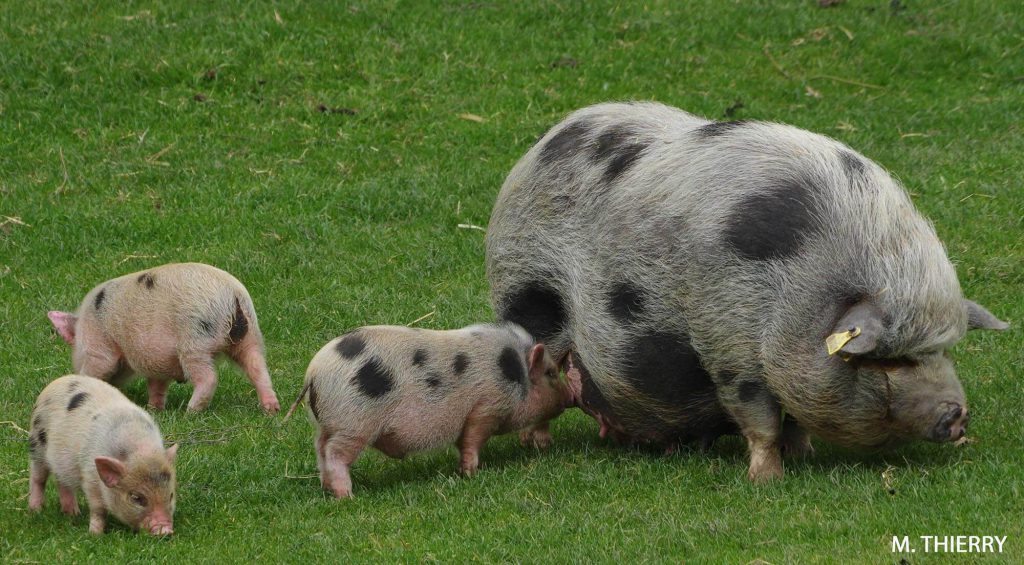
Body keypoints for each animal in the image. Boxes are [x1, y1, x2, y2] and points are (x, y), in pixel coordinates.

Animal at [28, 374, 179, 532]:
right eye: (137, 498)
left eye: (170, 495)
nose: (166, 530)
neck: (137, 450)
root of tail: (59, 380)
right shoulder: (90, 477)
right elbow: (98, 509)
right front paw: (95, 533)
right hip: (36, 443)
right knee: (38, 478)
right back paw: (36, 511)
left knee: (62, 481)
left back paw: (73, 514)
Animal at [48, 262, 280, 413]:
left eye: (76, 350)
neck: (82, 329)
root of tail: (233, 297)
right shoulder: (157, 361)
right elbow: (157, 385)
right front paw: (154, 409)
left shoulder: (99, 345)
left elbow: (101, 366)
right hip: (250, 336)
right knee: (258, 367)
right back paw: (272, 409)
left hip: (195, 341)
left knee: (208, 377)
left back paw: (190, 411)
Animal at [299, 321, 577, 499]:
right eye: (551, 373)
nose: (571, 397)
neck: (513, 374)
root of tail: (312, 376)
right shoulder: (486, 407)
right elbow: (472, 440)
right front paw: (470, 473)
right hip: (353, 424)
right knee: (335, 453)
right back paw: (347, 496)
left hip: (326, 426)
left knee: (320, 449)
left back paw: (327, 489)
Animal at [481, 100, 1007, 481]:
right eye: (890, 361)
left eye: (942, 352)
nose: (957, 416)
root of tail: (543, 144)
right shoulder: (729, 342)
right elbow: (759, 416)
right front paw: (768, 479)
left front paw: (803, 454)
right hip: (528, 291)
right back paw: (539, 445)